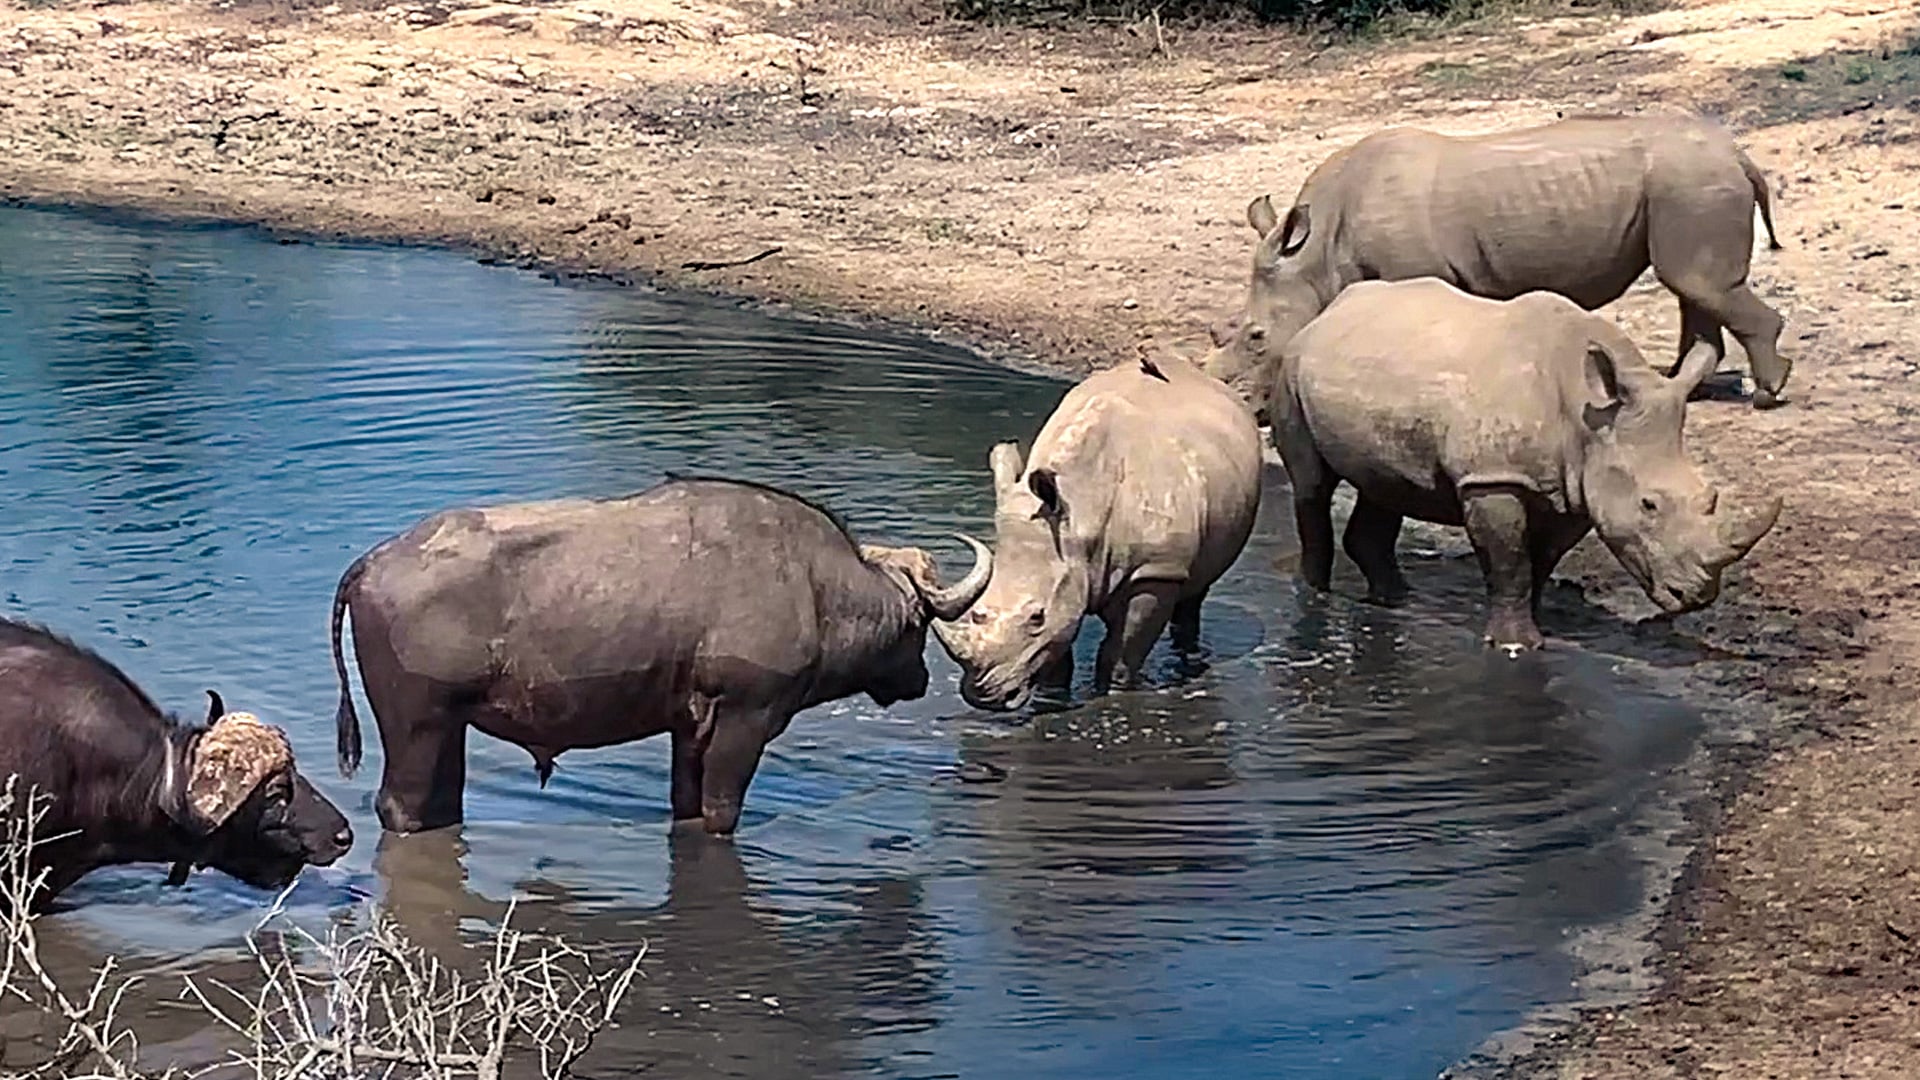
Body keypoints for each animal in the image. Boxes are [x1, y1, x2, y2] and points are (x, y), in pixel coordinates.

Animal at [931, 355, 1263, 710]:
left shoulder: (1154, 571)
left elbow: (1120, 655)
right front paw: (1053, 700)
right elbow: (1057, 649)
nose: (982, 695)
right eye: (976, 612)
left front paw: (1114, 695)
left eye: (1037, 617)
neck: (1081, 516)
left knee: (1195, 590)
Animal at [1203, 113, 1792, 411]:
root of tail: (1738, 153)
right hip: (1686, 183)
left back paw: (1766, 394)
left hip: (1691, 183)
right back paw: (1681, 388)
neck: (1318, 250)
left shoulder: (1416, 276)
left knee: (1695, 282)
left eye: (1256, 336)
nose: (1245, 410)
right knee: (1692, 287)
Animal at [1261, 277, 1781, 652]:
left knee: (1386, 483)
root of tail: (1327, 312)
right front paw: (1516, 646)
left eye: (1711, 498)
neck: (1590, 414)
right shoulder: (1493, 478)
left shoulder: (1576, 487)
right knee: (1312, 487)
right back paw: (1315, 597)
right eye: (1648, 505)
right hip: (1292, 370)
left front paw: (1536, 622)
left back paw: (1397, 600)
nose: (1695, 597)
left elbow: (1542, 558)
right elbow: (1510, 559)